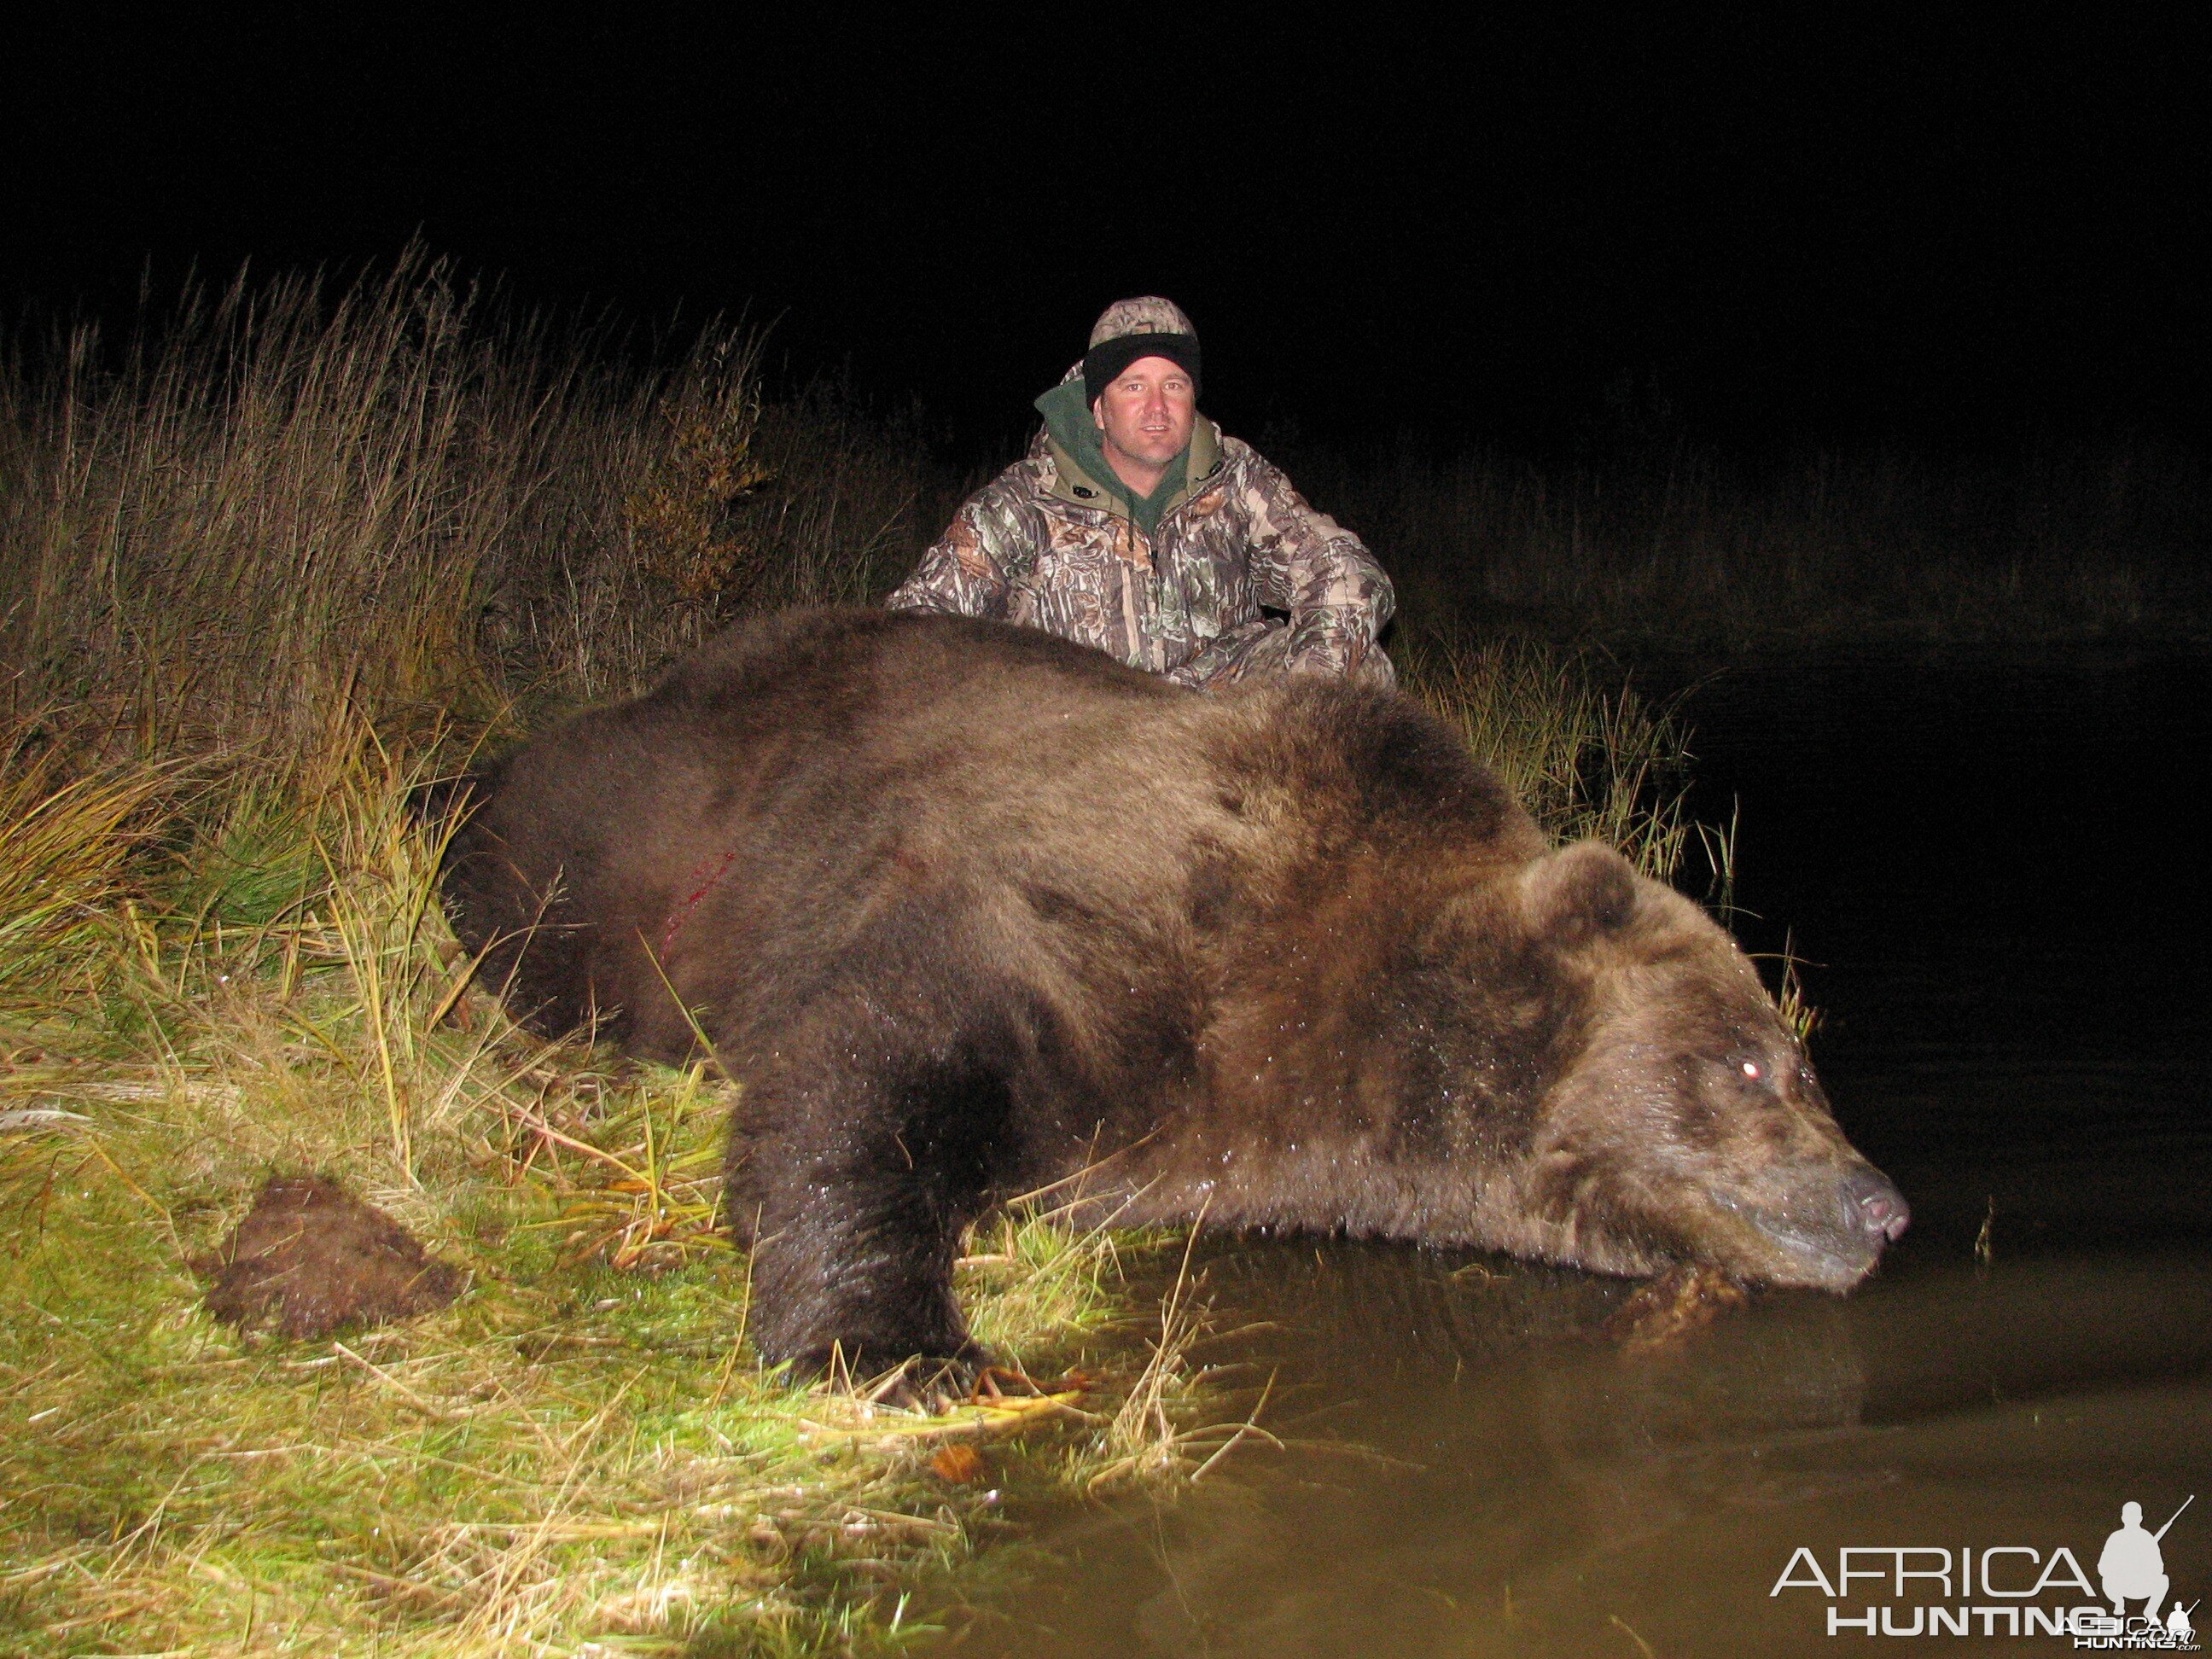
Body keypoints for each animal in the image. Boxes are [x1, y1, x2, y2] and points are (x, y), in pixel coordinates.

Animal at [431, 610, 1902, 1380]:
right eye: (1760, 1061)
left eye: (1805, 1063)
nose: (1881, 1203)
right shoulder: (1109, 909)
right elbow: (873, 1055)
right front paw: (900, 1346)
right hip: (609, 848)